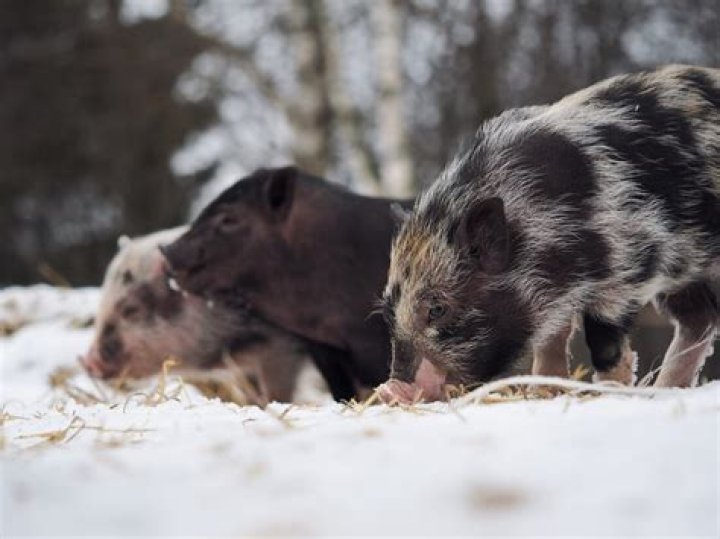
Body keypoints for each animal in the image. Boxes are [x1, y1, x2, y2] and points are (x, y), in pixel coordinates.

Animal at [379, 65, 720, 402]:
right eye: (390, 312)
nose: (392, 388)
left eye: (437, 309)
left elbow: (605, 346)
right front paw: (544, 391)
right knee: (700, 320)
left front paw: (608, 393)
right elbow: (551, 341)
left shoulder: (629, 262)